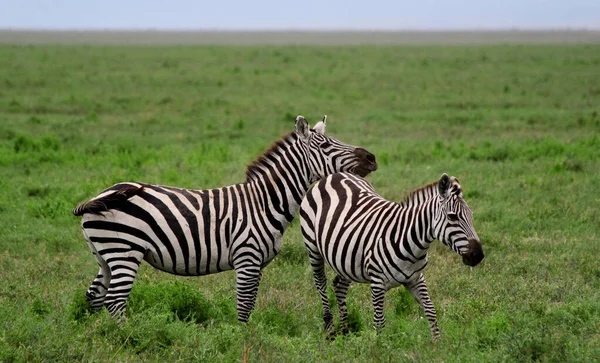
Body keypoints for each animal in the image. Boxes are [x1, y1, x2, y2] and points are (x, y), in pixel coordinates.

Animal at [74, 115, 376, 322]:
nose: (371, 157)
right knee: (115, 300)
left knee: (94, 296)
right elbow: (243, 306)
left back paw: (98, 337)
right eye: (325, 145)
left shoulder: (258, 264)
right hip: (125, 250)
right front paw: (241, 341)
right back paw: (127, 335)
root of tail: (97, 196)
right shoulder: (247, 258)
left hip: (105, 255)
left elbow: (250, 304)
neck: (264, 202)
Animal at [298, 172, 482, 340]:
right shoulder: (377, 284)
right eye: (452, 217)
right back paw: (329, 329)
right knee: (321, 283)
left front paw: (437, 345)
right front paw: (380, 349)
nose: (478, 255)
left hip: (346, 258)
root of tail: (334, 175)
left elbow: (430, 310)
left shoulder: (416, 278)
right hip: (312, 247)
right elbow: (379, 321)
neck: (409, 241)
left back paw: (345, 331)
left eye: (471, 215)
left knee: (339, 286)